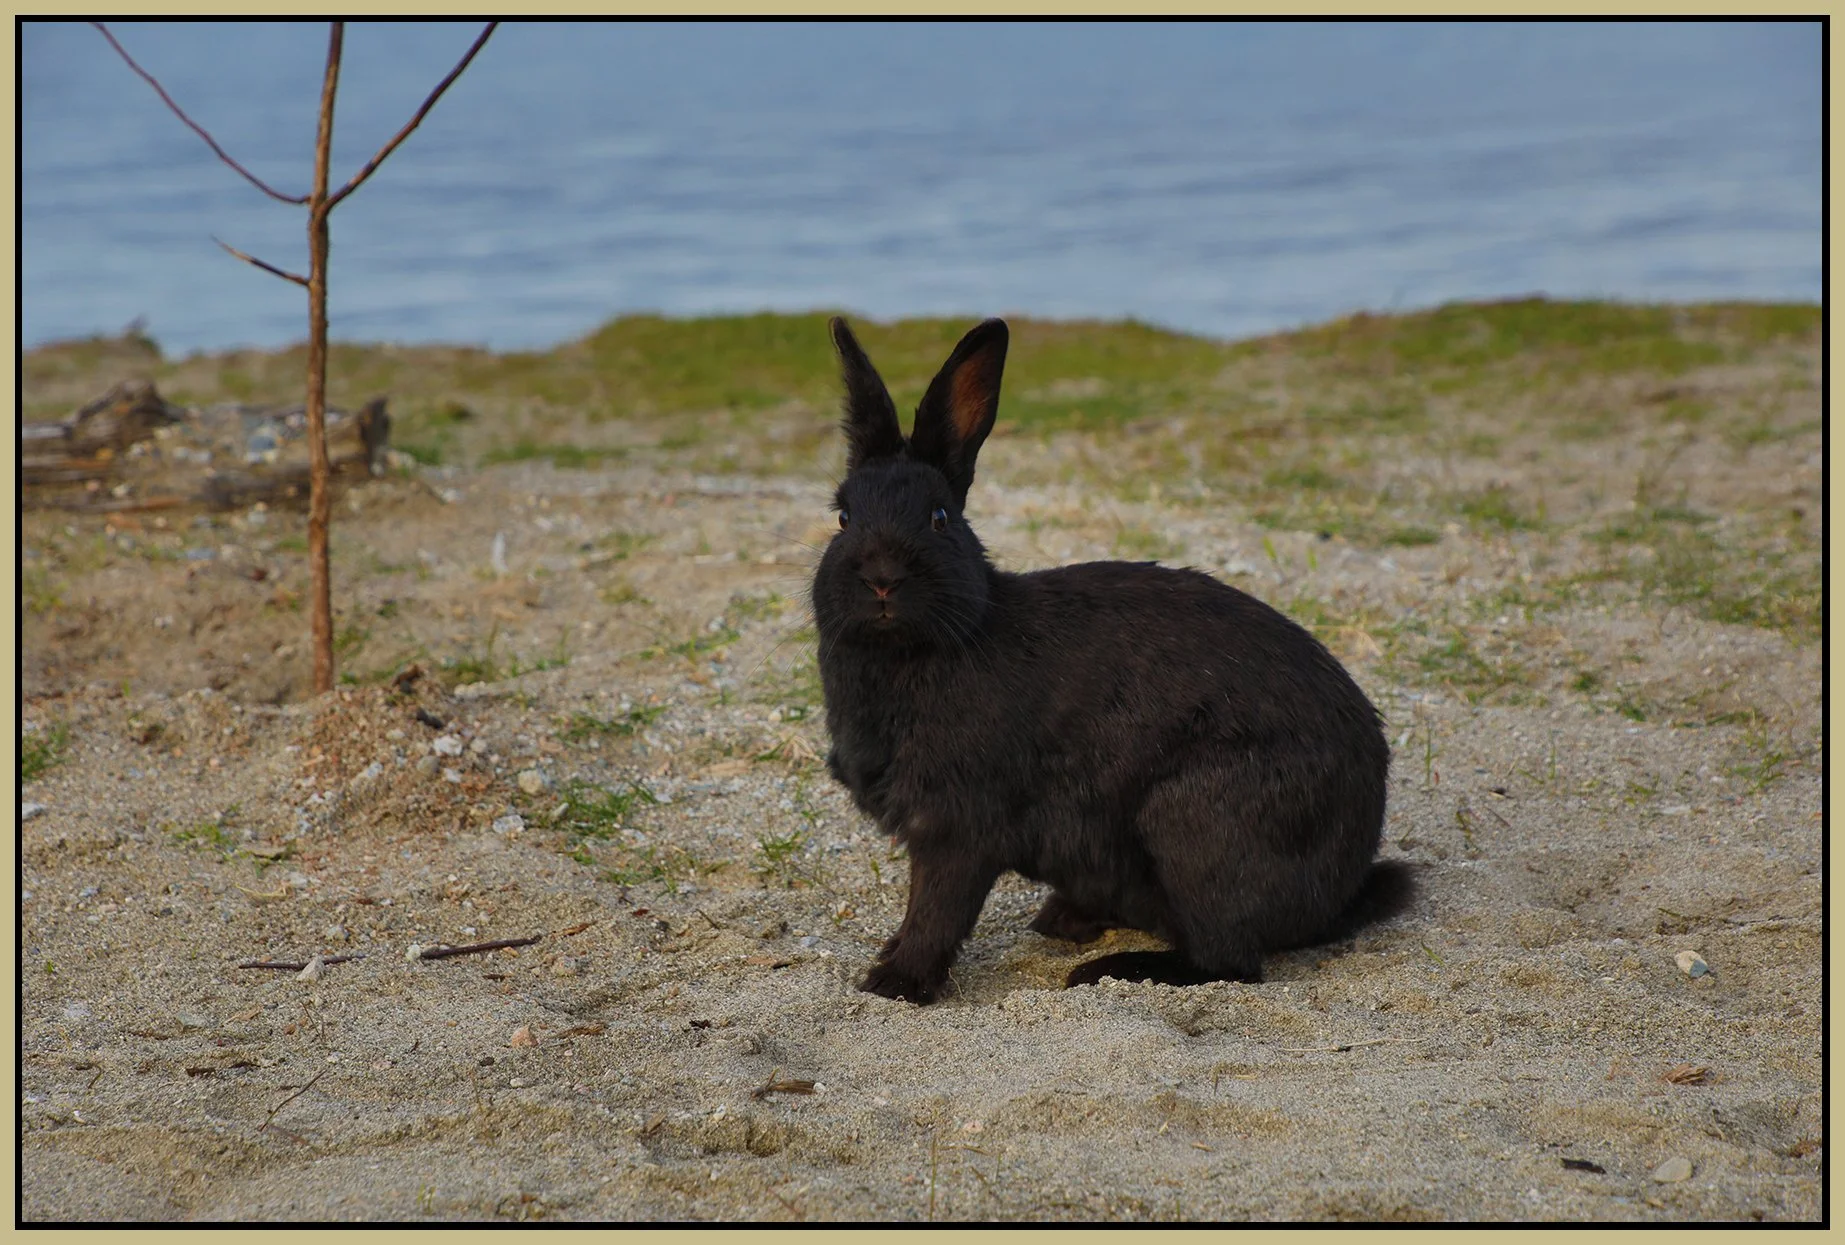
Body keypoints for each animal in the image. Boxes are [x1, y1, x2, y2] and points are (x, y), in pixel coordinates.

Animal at [812, 316, 1413, 1004]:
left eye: (939, 517)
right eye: (843, 516)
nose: (882, 577)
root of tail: (1342, 888)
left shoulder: (955, 827)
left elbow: (935, 909)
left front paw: (894, 983)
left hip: (1193, 823)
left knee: (1228, 960)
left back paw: (1103, 971)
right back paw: (1065, 921)